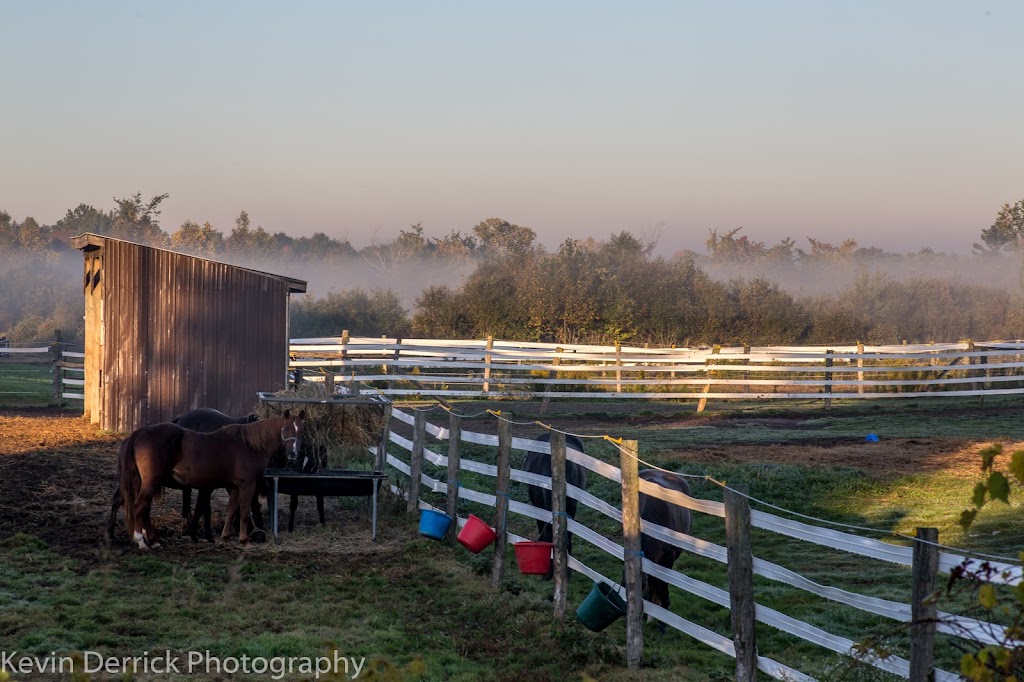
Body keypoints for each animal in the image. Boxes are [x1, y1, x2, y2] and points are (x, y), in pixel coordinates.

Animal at [115, 409, 301, 548]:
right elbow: (243, 511)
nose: (293, 454)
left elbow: (231, 510)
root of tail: (139, 433)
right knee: (139, 506)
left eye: (300, 430)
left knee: (143, 508)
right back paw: (141, 541)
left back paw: (153, 541)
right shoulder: (247, 484)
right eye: (285, 429)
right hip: (151, 481)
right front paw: (244, 540)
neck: (249, 445)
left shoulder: (234, 486)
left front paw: (225, 538)